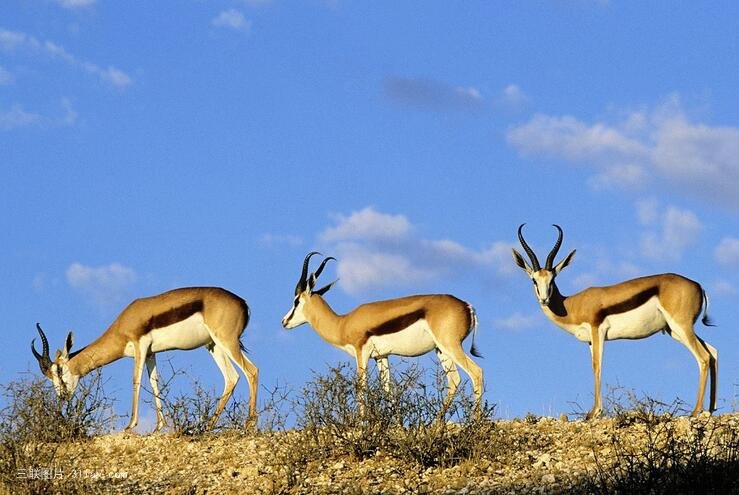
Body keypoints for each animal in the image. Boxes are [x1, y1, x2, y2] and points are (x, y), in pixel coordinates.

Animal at [31, 288, 260, 432]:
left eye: (59, 370)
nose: (62, 397)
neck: (124, 323)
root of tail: (242, 302)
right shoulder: (151, 353)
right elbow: (154, 382)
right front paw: (158, 427)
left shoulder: (140, 347)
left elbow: (136, 380)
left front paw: (130, 425)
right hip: (214, 346)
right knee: (231, 378)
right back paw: (208, 427)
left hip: (226, 341)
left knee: (252, 371)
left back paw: (249, 425)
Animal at [280, 254, 482, 408]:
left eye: (296, 301)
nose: (284, 322)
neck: (343, 323)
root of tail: (467, 306)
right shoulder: (381, 356)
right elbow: (388, 389)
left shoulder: (361, 354)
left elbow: (361, 388)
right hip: (441, 350)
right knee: (454, 380)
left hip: (451, 346)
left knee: (477, 373)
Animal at [516, 227, 716, 420]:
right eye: (534, 280)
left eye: (552, 279)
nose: (544, 299)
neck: (572, 305)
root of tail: (698, 285)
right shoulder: (590, 341)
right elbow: (594, 366)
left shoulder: (597, 330)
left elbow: (597, 366)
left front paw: (594, 412)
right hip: (675, 330)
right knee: (713, 353)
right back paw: (710, 409)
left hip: (680, 326)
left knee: (703, 357)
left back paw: (695, 411)